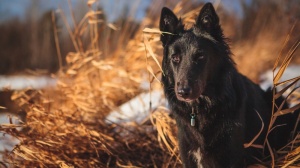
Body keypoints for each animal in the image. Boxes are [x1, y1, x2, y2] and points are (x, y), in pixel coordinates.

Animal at [159, 2, 298, 168]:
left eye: (200, 56)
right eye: (175, 58)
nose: (183, 92)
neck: (201, 108)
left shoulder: (231, 156)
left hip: (277, 98)